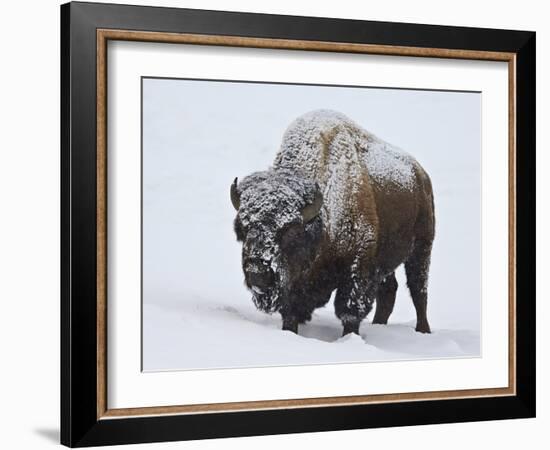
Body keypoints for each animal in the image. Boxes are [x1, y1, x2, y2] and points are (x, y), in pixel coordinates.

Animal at [231, 110, 438, 338]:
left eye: (291, 232)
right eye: (243, 229)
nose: (257, 273)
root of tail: (421, 174)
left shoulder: (357, 267)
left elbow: (349, 311)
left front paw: (350, 337)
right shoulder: (295, 284)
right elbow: (291, 312)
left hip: (421, 248)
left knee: (419, 290)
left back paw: (423, 330)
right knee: (389, 290)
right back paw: (379, 325)